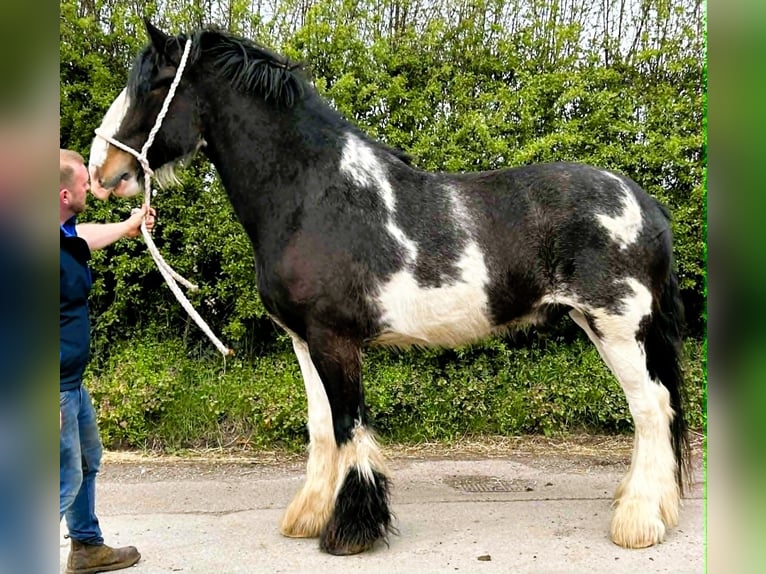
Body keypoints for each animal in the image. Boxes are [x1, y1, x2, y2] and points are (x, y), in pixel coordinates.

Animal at [90, 19, 689, 555]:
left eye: (152, 85)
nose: (101, 170)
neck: (314, 196)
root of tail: (645, 202)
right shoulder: (305, 341)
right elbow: (321, 427)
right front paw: (310, 514)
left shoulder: (336, 340)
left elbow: (349, 425)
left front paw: (350, 531)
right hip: (599, 325)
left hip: (618, 328)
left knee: (651, 408)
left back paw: (638, 521)